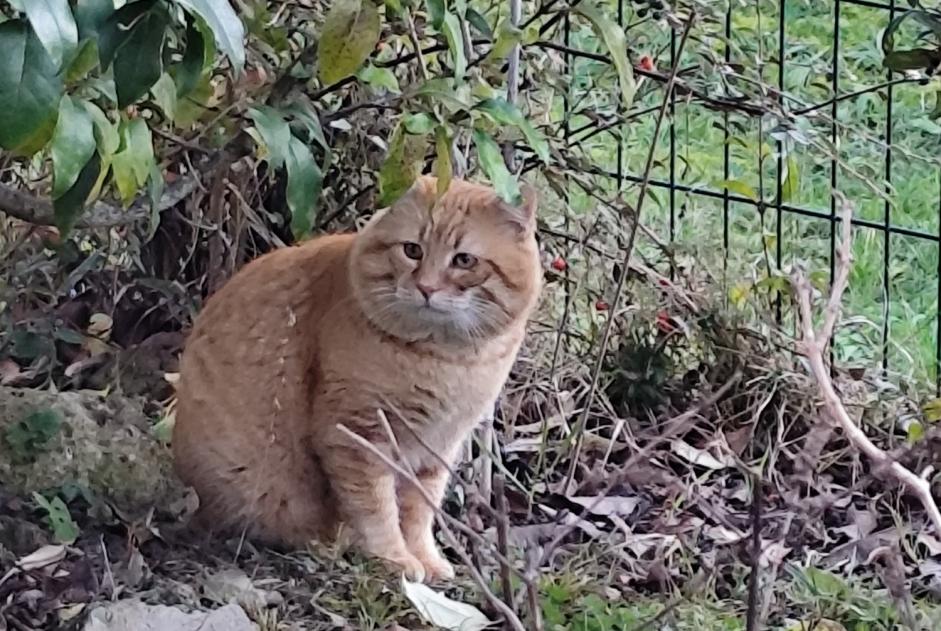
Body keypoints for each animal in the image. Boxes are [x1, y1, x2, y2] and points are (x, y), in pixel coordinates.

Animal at [172, 175, 540, 580]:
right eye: (412, 250)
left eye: (464, 260)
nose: (426, 288)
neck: (447, 360)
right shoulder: (358, 434)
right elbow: (377, 509)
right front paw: (395, 560)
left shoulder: (438, 447)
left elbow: (418, 508)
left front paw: (425, 559)